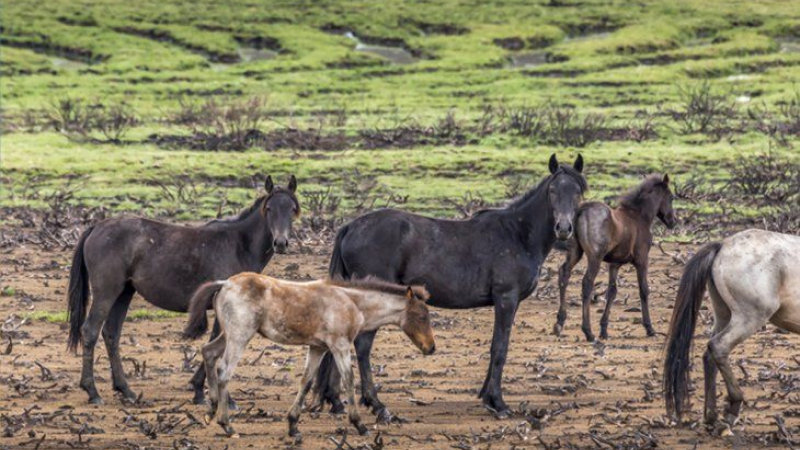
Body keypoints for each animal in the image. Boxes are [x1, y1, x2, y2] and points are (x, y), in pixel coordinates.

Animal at [66, 175, 300, 405]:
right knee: (91, 331)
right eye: (269, 208)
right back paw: (92, 391)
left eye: (291, 209)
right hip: (106, 293)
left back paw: (126, 390)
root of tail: (96, 228)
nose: (280, 243)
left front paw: (199, 391)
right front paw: (218, 395)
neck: (238, 245)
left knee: (111, 334)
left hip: (124, 293)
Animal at [183, 273, 436, 438]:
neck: (352, 303)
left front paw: (293, 425)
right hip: (239, 336)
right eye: (422, 316)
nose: (431, 348)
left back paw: (211, 410)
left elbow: (306, 381)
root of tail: (225, 283)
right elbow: (348, 380)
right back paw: (226, 424)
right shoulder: (340, 345)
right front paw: (359, 425)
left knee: (208, 353)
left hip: (228, 335)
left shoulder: (318, 348)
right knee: (224, 371)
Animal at [314, 154, 587, 420]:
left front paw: (487, 397)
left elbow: (495, 348)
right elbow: (500, 348)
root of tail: (351, 227)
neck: (518, 233)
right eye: (552, 190)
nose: (564, 228)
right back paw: (377, 405)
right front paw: (498, 403)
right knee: (362, 346)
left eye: (577, 191)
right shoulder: (506, 299)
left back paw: (336, 401)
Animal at [553, 174, 677, 342]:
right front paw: (649, 328)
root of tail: (582, 209)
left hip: (575, 252)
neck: (639, 216)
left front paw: (604, 329)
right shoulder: (642, 259)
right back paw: (588, 331)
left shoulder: (614, 264)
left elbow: (612, 292)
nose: (673, 222)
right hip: (595, 257)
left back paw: (559, 323)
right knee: (587, 283)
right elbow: (644, 290)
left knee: (564, 274)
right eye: (671, 197)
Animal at [664, 229, 800, 429]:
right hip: (748, 319)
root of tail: (723, 245)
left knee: (709, 355)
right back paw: (732, 408)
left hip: (724, 315)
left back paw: (711, 416)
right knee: (718, 347)